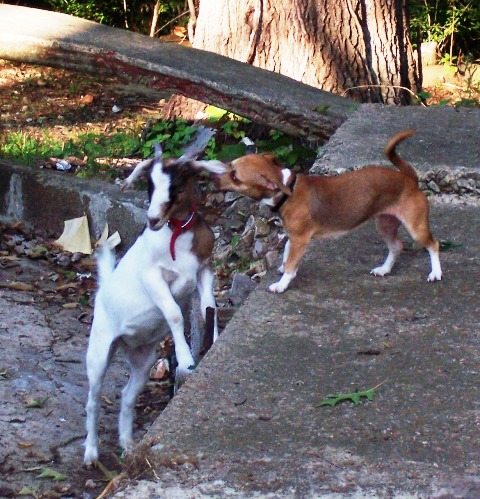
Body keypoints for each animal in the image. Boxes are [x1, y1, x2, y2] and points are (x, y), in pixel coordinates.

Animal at [83, 146, 226, 468]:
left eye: (175, 187)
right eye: (149, 185)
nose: (152, 220)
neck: (178, 234)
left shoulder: (203, 271)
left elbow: (208, 306)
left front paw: (214, 341)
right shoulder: (152, 277)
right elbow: (173, 313)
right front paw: (185, 360)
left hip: (143, 359)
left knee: (127, 395)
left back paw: (127, 444)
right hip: (99, 353)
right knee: (93, 400)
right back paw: (91, 452)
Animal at [216, 130, 440, 292]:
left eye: (235, 176)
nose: (214, 179)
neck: (288, 189)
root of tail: (409, 178)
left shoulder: (301, 239)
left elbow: (291, 264)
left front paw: (281, 284)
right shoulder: (294, 237)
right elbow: (287, 251)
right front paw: (283, 266)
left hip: (416, 227)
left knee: (433, 245)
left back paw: (436, 273)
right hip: (384, 224)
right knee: (396, 246)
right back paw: (384, 269)